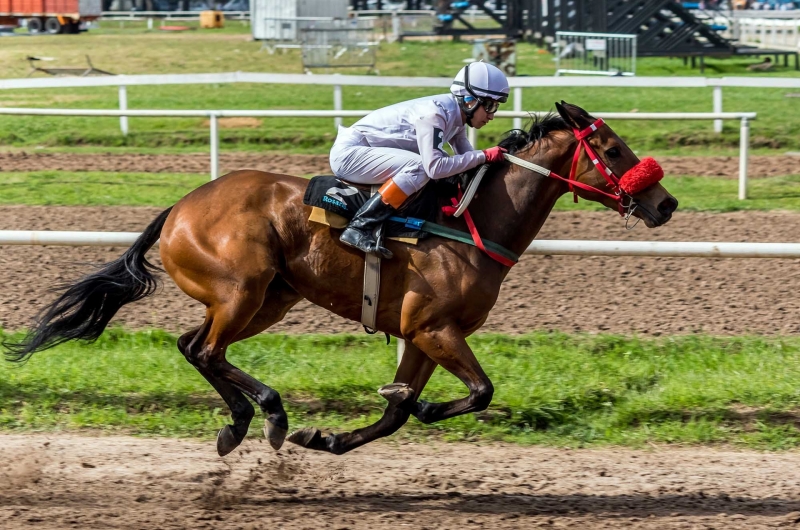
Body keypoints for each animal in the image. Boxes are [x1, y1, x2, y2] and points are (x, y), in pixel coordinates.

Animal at [3, 102, 680, 454]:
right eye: (613, 150)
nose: (666, 204)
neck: (471, 223)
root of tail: (181, 206)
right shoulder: (435, 328)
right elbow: (477, 392)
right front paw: (416, 408)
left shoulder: (423, 333)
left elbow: (399, 411)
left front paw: (331, 437)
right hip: (242, 289)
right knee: (210, 350)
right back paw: (270, 415)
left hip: (266, 300)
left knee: (192, 346)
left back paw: (238, 424)